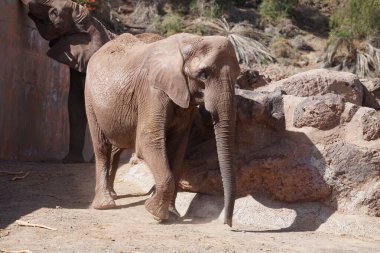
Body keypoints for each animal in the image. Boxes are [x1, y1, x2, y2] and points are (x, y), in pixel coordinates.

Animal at [85, 32, 240, 226]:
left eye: (238, 76)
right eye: (203, 74)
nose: (228, 223)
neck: (192, 40)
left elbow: (178, 147)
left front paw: (172, 215)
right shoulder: (151, 90)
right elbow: (147, 141)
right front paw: (154, 212)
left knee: (117, 147)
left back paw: (113, 194)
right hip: (90, 98)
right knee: (102, 146)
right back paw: (105, 204)